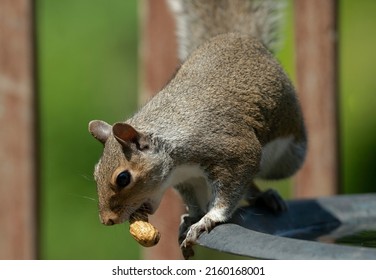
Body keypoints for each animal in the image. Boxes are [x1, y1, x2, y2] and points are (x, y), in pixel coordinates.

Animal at [88, 0, 306, 260]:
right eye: (95, 172)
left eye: (123, 178)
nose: (107, 220)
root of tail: (237, 36)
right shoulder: (187, 180)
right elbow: (194, 202)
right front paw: (191, 218)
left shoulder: (235, 152)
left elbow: (226, 197)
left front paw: (207, 220)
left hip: (287, 158)